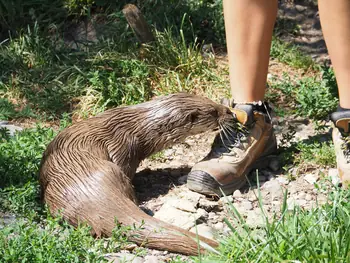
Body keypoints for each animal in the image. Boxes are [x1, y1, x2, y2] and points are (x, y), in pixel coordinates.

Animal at [39, 93, 235, 256]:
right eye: (213, 111)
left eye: (212, 101)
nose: (230, 111)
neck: (138, 130)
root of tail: (89, 195)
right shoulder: (124, 149)